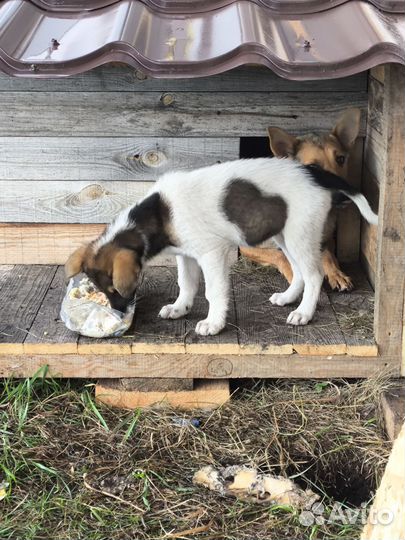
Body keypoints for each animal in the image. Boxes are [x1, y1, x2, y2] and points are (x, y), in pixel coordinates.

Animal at [64, 156, 378, 336]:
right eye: (103, 290)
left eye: (116, 290)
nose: (118, 314)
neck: (158, 215)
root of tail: (314, 174)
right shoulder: (186, 256)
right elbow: (186, 284)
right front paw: (180, 308)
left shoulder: (211, 253)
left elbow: (213, 292)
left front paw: (213, 323)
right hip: (285, 235)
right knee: (299, 272)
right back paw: (289, 298)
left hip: (300, 234)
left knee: (314, 275)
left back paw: (304, 312)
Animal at [240, 106, 360, 292]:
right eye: (313, 167)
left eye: (340, 159)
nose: (345, 195)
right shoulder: (246, 247)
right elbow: (280, 255)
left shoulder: (324, 240)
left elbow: (327, 255)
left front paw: (336, 274)